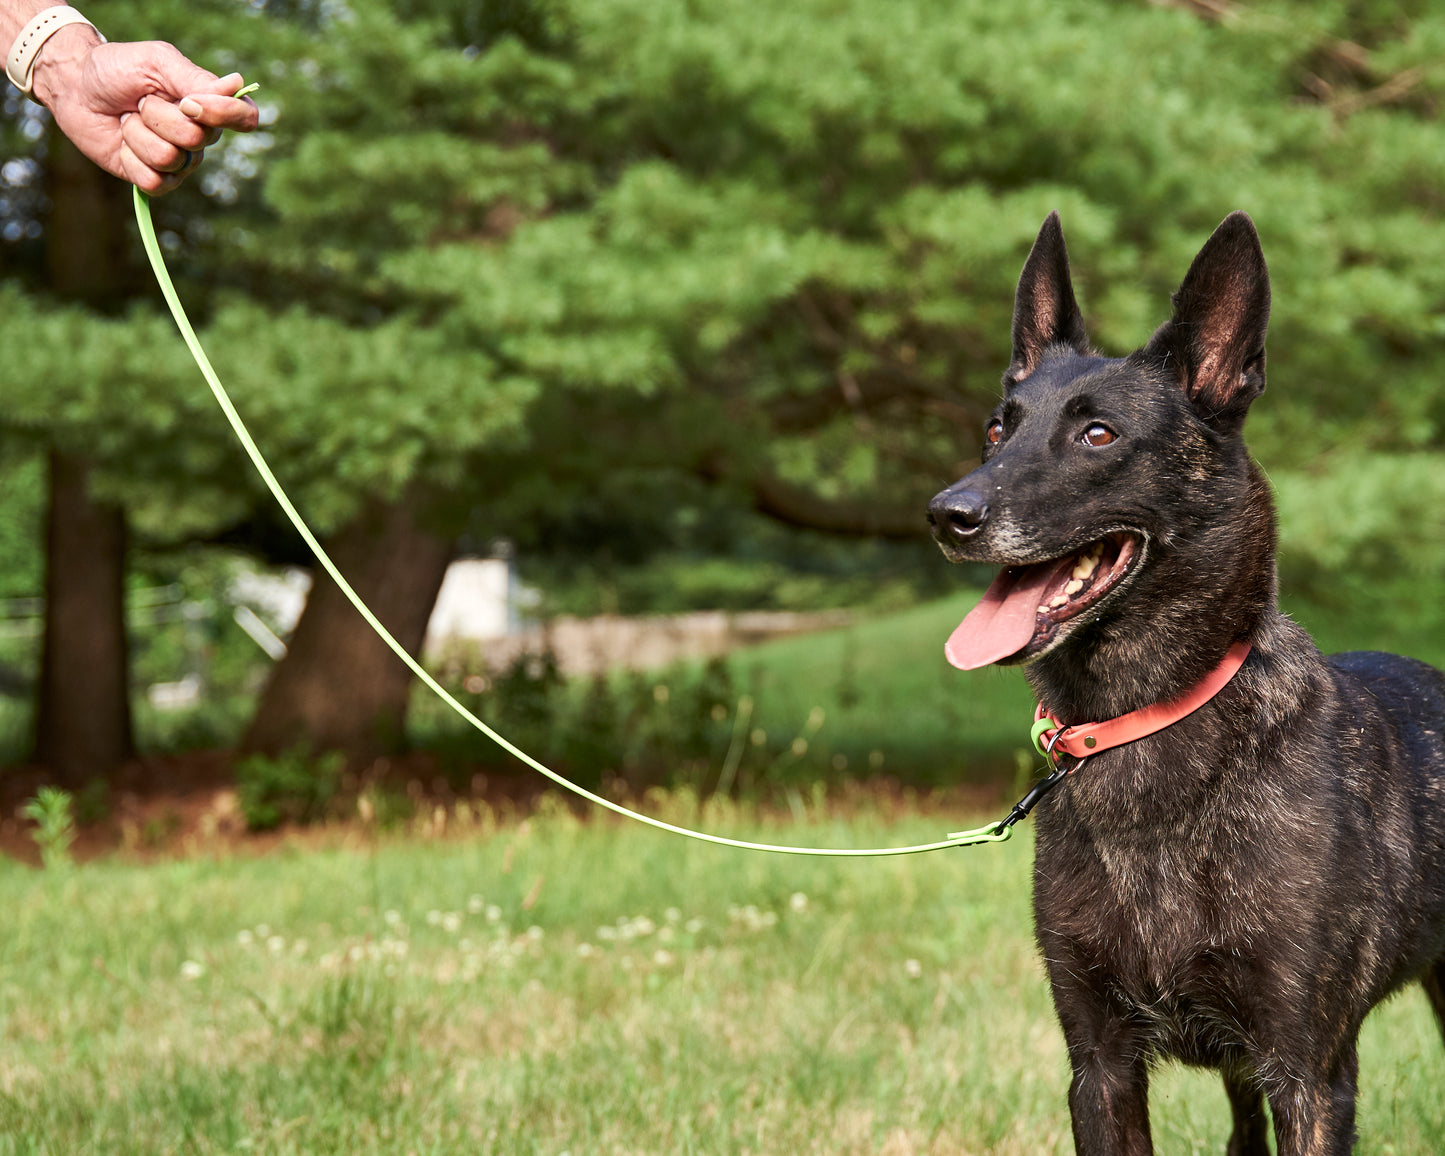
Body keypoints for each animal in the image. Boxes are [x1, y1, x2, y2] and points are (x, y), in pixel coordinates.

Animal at [924, 212, 1445, 1150]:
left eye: (1097, 435)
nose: (948, 515)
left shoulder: (1310, 1076)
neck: (1143, 718)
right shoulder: (1099, 1065)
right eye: (996, 430)